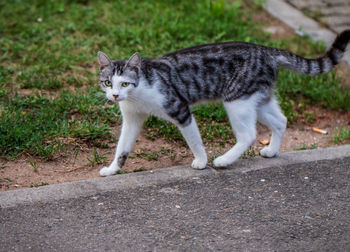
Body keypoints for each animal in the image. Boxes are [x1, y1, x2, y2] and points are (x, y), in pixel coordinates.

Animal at [98, 29, 350, 176]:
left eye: (125, 83)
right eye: (108, 83)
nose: (115, 96)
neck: (138, 95)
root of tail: (265, 50)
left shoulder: (180, 109)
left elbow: (194, 141)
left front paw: (201, 161)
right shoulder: (132, 119)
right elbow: (122, 148)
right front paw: (112, 170)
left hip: (237, 101)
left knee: (248, 134)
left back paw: (224, 161)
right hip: (258, 99)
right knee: (281, 120)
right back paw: (271, 151)